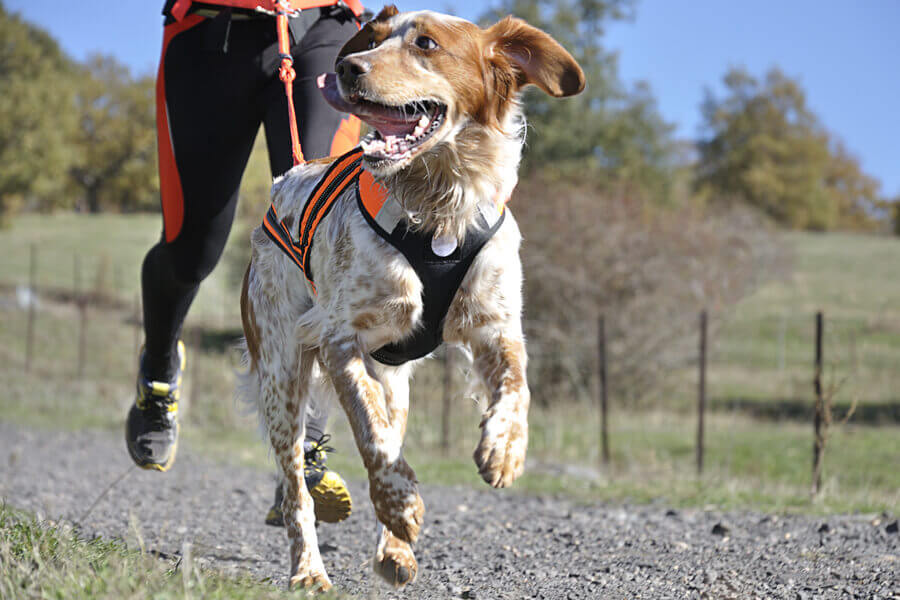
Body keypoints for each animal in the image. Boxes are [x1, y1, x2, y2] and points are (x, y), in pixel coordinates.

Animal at [241, 5, 584, 592]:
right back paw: (310, 569)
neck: (440, 207)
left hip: (394, 382)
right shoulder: (340, 339)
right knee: (297, 490)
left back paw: (393, 552)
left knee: (387, 425)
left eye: (426, 43)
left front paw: (505, 449)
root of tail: (287, 177)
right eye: (373, 40)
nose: (348, 68)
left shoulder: (496, 327)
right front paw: (400, 504)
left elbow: (517, 388)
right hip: (282, 374)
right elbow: (372, 437)